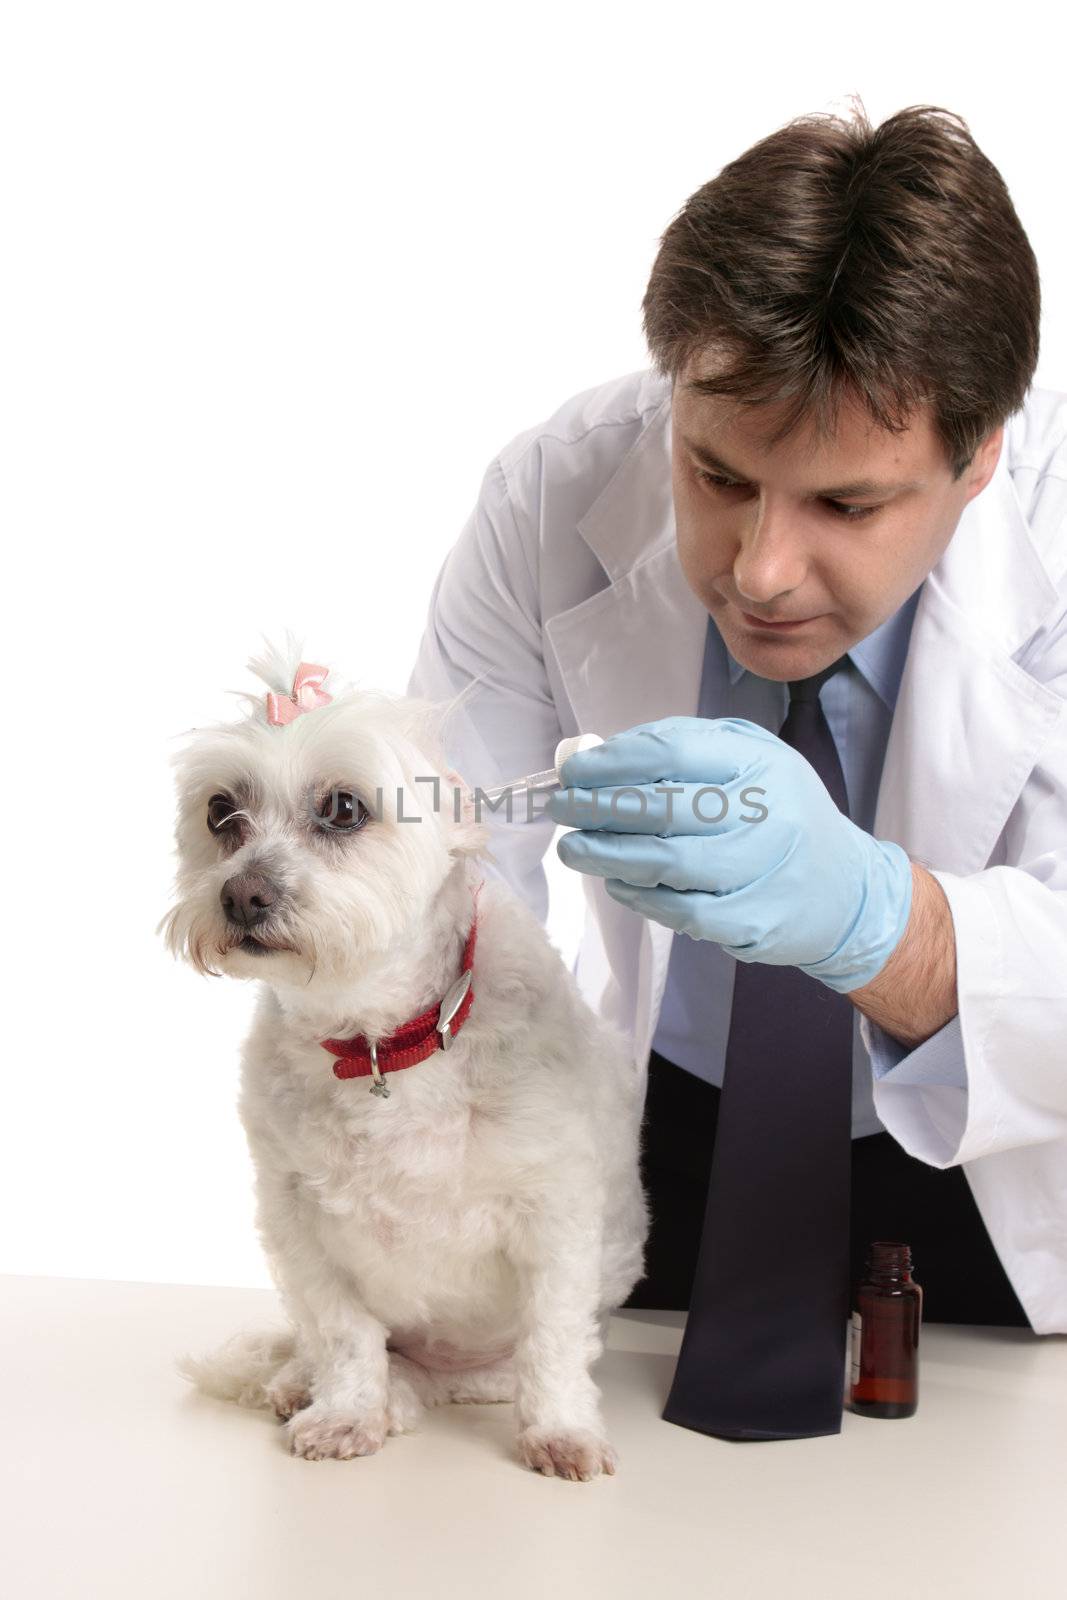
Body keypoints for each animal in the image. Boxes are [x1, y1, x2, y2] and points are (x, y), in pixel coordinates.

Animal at [161, 640, 646, 1484]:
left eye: (343, 808)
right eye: (221, 811)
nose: (242, 895)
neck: (383, 1045)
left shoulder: (555, 1217)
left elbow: (552, 1338)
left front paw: (559, 1430)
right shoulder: (296, 1224)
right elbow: (343, 1335)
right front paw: (346, 1413)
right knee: (340, 1354)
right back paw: (307, 1385)